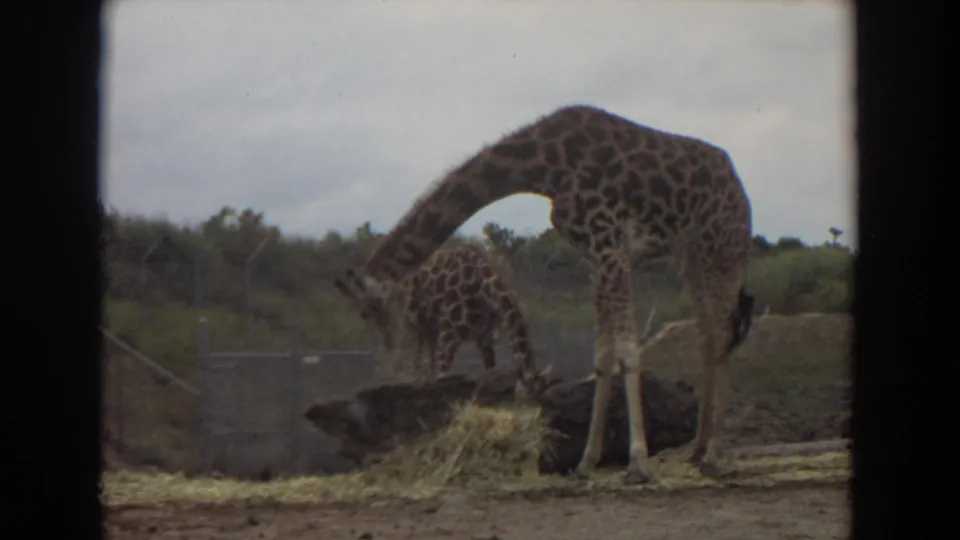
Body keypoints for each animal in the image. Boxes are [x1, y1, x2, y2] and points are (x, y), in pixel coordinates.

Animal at [334, 242, 554, 400]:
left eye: (540, 391)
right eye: (530, 393)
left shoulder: (484, 337)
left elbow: (490, 372)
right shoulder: (449, 333)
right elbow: (441, 376)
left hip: (425, 329)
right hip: (416, 327)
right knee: (414, 359)